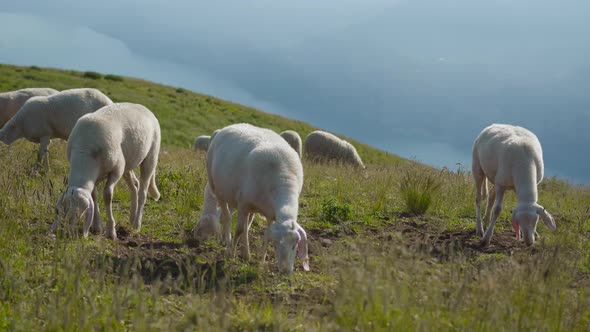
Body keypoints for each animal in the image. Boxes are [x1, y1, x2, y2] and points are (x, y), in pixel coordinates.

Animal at [51, 102, 161, 240]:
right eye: (59, 210)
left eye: (80, 211)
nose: (66, 233)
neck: (85, 152)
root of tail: (144, 107)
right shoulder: (97, 176)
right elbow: (94, 196)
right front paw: (97, 227)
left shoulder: (116, 170)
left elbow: (107, 195)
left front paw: (111, 231)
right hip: (127, 162)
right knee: (134, 185)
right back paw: (131, 218)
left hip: (151, 156)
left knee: (143, 192)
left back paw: (137, 224)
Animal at [206, 123, 312, 274]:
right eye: (276, 244)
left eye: (295, 244)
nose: (285, 272)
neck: (284, 181)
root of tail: (230, 126)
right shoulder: (243, 204)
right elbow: (239, 229)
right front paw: (231, 253)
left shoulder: (270, 213)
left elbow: (265, 236)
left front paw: (261, 264)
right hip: (217, 189)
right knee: (227, 218)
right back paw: (227, 244)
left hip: (240, 198)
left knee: (246, 224)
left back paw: (246, 254)